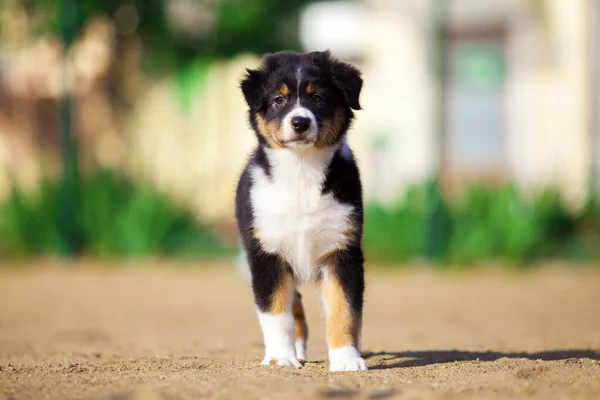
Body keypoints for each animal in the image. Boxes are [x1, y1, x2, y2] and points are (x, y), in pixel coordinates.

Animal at [234, 50, 366, 372]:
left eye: (317, 98)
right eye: (279, 100)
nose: (299, 122)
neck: (302, 169)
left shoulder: (342, 251)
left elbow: (345, 309)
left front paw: (346, 359)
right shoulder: (267, 254)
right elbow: (275, 313)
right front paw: (280, 358)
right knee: (294, 311)